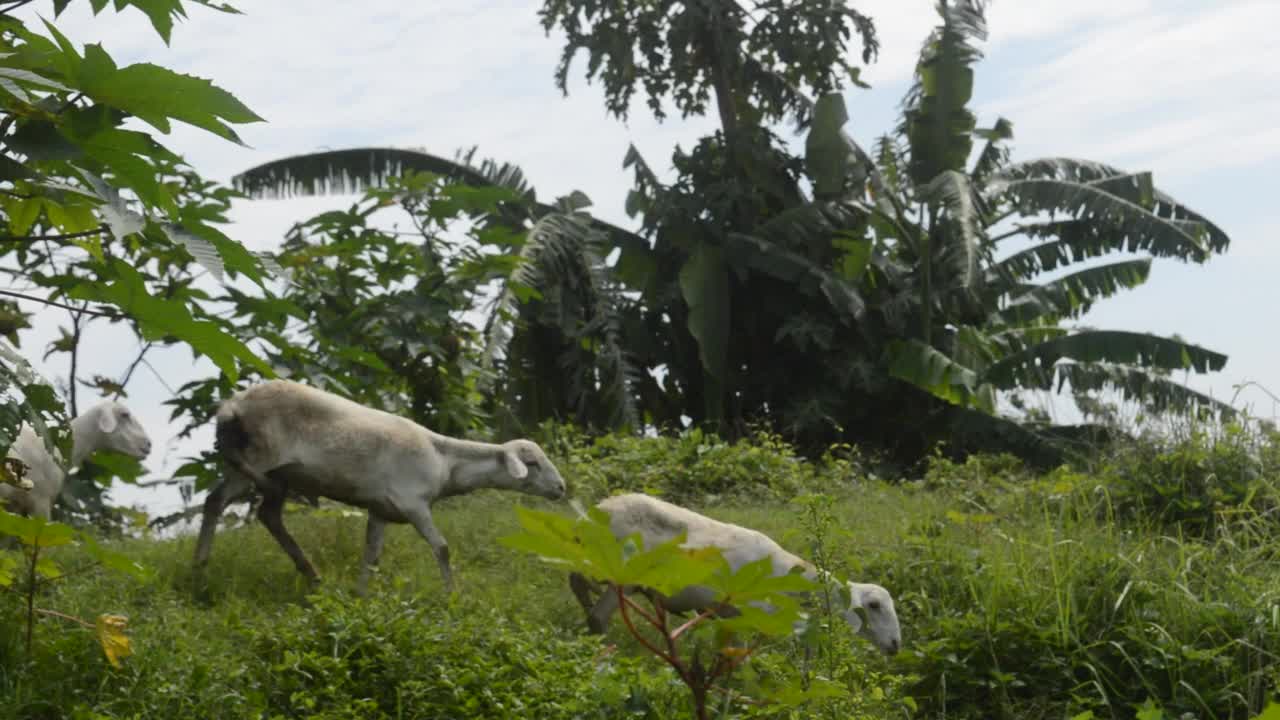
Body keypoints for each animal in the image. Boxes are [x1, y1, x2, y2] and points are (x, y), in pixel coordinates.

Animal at [188, 379, 565, 591]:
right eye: (533, 463)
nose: (562, 489)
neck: (446, 461)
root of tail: (230, 407)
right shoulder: (414, 503)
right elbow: (442, 547)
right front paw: (452, 596)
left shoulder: (381, 509)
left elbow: (371, 555)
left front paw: (361, 595)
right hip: (258, 459)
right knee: (220, 502)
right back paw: (201, 569)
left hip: (269, 473)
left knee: (255, 512)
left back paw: (308, 574)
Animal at [570, 489, 901, 653]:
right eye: (874, 606)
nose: (896, 645)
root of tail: (595, 512)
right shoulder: (747, 613)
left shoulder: (728, 615)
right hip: (620, 575)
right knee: (597, 616)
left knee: (577, 584)